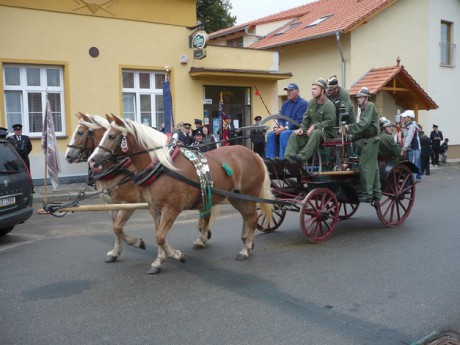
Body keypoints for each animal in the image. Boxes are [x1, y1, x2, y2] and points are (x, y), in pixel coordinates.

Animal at [64, 113, 146, 260]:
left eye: (80, 132)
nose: (67, 156)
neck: (117, 168)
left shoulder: (130, 202)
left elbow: (117, 227)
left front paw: (137, 242)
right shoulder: (111, 204)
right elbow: (115, 227)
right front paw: (116, 252)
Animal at [88, 114, 272, 272]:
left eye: (112, 136)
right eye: (103, 135)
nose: (92, 160)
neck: (162, 167)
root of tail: (253, 154)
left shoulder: (170, 208)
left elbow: (159, 237)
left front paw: (176, 255)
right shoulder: (154, 208)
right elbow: (156, 234)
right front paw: (158, 261)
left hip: (249, 194)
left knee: (253, 219)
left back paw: (245, 249)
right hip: (236, 197)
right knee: (246, 217)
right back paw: (246, 242)